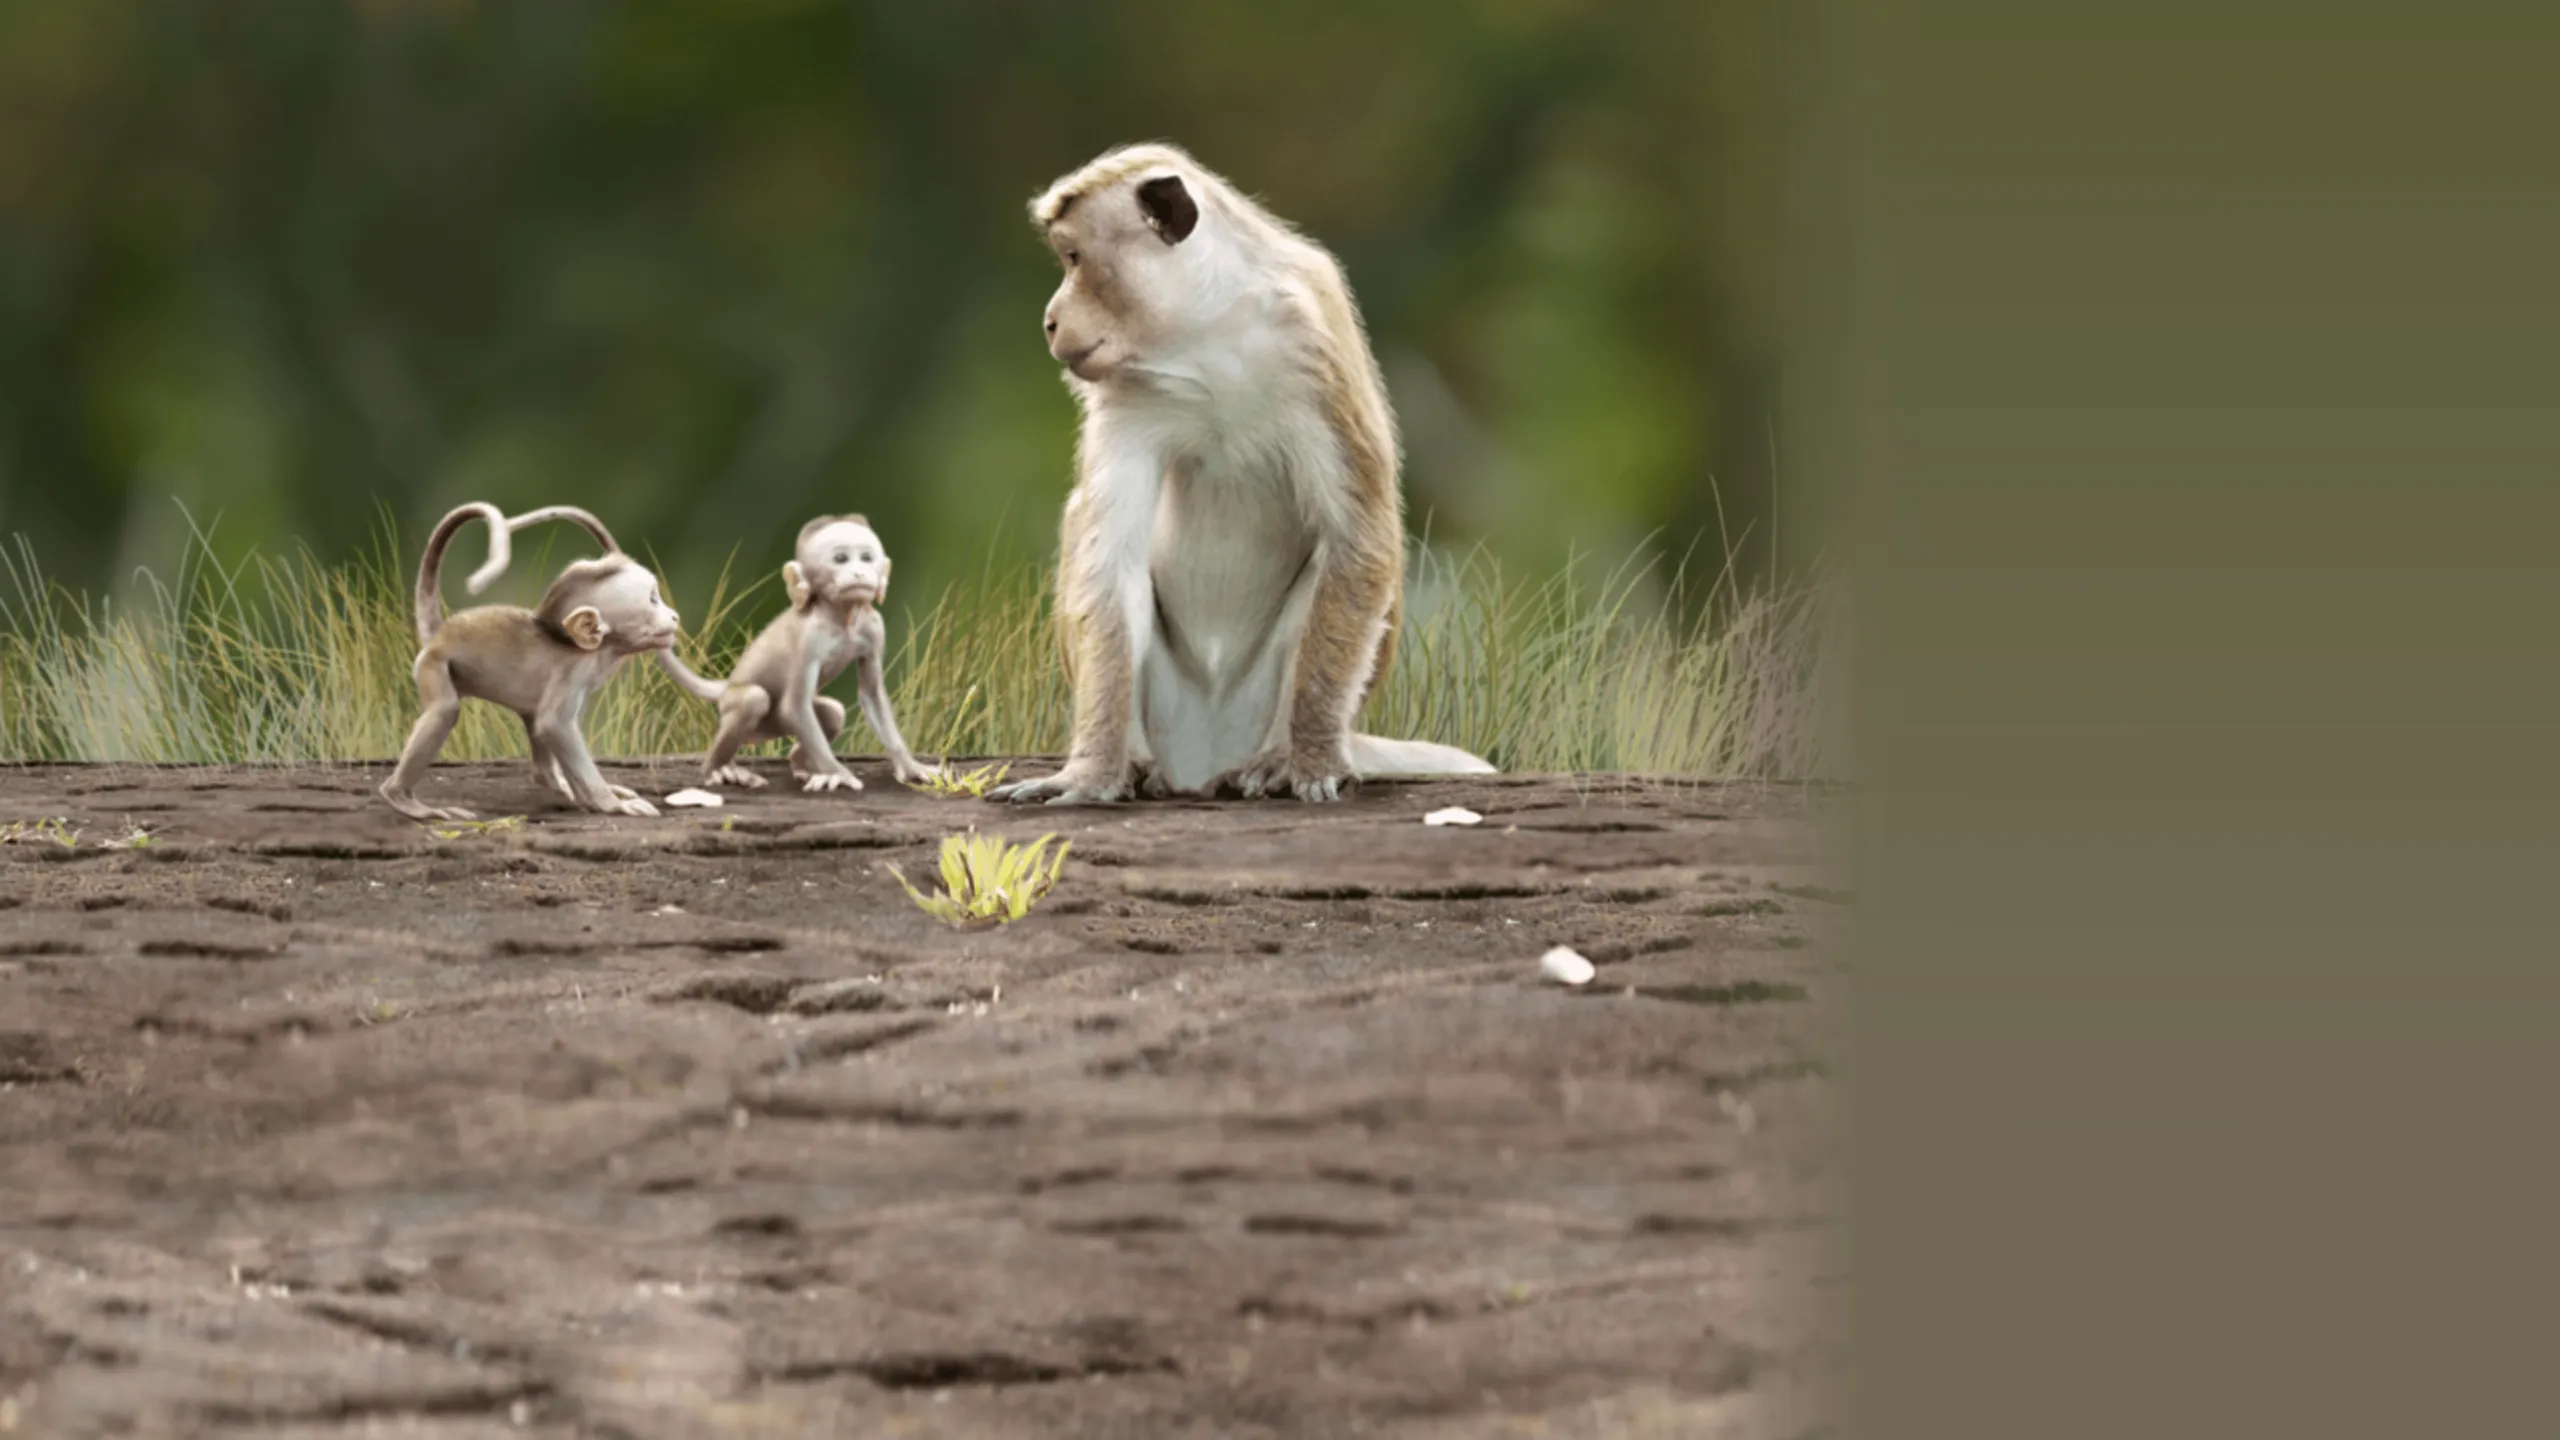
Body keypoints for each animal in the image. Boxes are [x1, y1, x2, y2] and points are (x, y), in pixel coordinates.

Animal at [378, 503, 681, 822]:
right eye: (653, 600)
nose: (674, 617)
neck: (593, 648)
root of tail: (440, 634)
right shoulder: (573, 672)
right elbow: (554, 725)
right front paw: (610, 803)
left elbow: (549, 726)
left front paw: (588, 798)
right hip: (434, 664)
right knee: (445, 711)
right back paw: (404, 799)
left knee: (532, 722)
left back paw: (555, 782)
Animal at [653, 514, 939, 794]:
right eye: (840, 559)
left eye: (867, 558)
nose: (859, 572)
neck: (841, 619)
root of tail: (728, 685)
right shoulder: (809, 638)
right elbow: (794, 706)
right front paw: (837, 773)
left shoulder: (874, 628)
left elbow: (872, 696)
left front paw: (910, 767)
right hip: (739, 710)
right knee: (753, 700)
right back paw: (718, 767)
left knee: (833, 713)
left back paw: (800, 765)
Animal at [988, 142, 1496, 808]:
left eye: (1074, 258)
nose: (1050, 320)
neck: (1207, 335)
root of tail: (1201, 761)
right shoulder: (1126, 393)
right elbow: (1109, 559)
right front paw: (1091, 773)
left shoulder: (1312, 341)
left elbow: (1359, 539)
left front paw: (1311, 760)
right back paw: (1136, 763)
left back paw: (1279, 757)